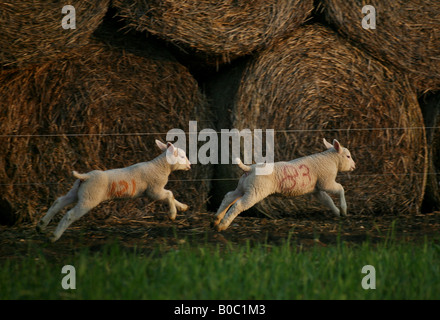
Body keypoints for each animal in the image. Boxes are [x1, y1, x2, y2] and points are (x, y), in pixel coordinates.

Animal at [36, 140, 191, 242]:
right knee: (70, 214)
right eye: (182, 157)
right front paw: (173, 214)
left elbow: (172, 196)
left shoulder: (157, 189)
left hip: (76, 191)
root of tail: (85, 177)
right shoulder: (154, 190)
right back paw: (54, 236)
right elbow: (170, 194)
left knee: (58, 202)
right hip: (89, 198)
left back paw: (41, 225)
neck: (159, 166)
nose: (189, 165)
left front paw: (183, 207)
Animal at [213, 139, 354, 231]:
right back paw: (222, 225)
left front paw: (337, 212)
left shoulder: (316, 189)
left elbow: (327, 200)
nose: (354, 166)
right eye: (348, 156)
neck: (331, 160)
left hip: (243, 187)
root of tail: (250, 169)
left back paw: (216, 221)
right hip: (255, 190)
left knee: (229, 197)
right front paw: (344, 209)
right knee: (239, 205)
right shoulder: (326, 182)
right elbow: (341, 189)